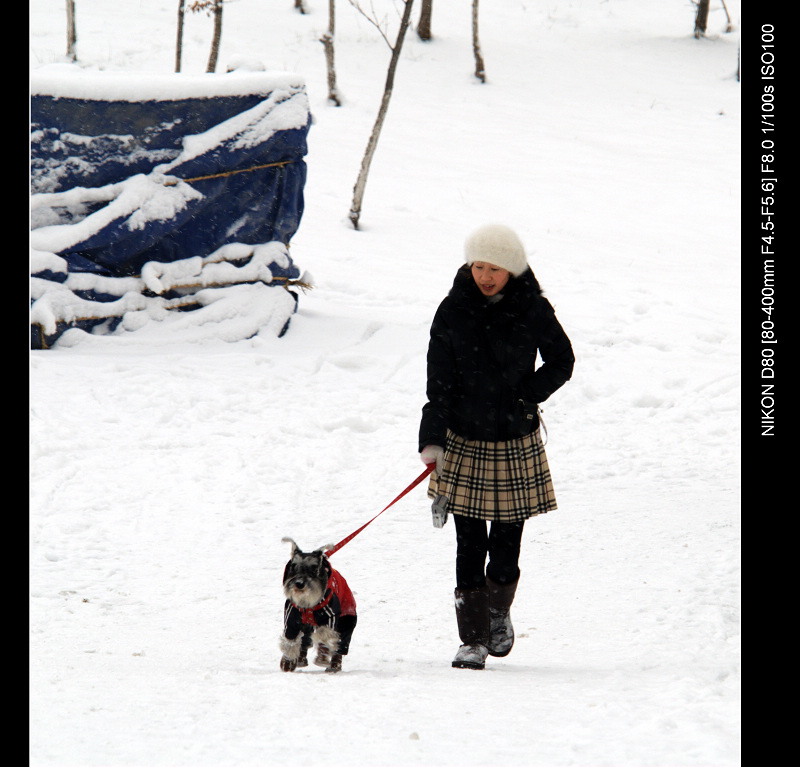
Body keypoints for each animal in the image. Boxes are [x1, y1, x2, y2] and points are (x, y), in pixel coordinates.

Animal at [280, 536, 358, 676]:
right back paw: (300, 659)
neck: (307, 603)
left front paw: (322, 657)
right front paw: (287, 662)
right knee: (304, 641)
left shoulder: (330, 617)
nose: (299, 583)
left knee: (339, 646)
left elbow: (324, 636)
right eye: (293, 566)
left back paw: (333, 665)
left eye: (314, 568)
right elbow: (291, 640)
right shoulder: (292, 619)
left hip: (346, 622)